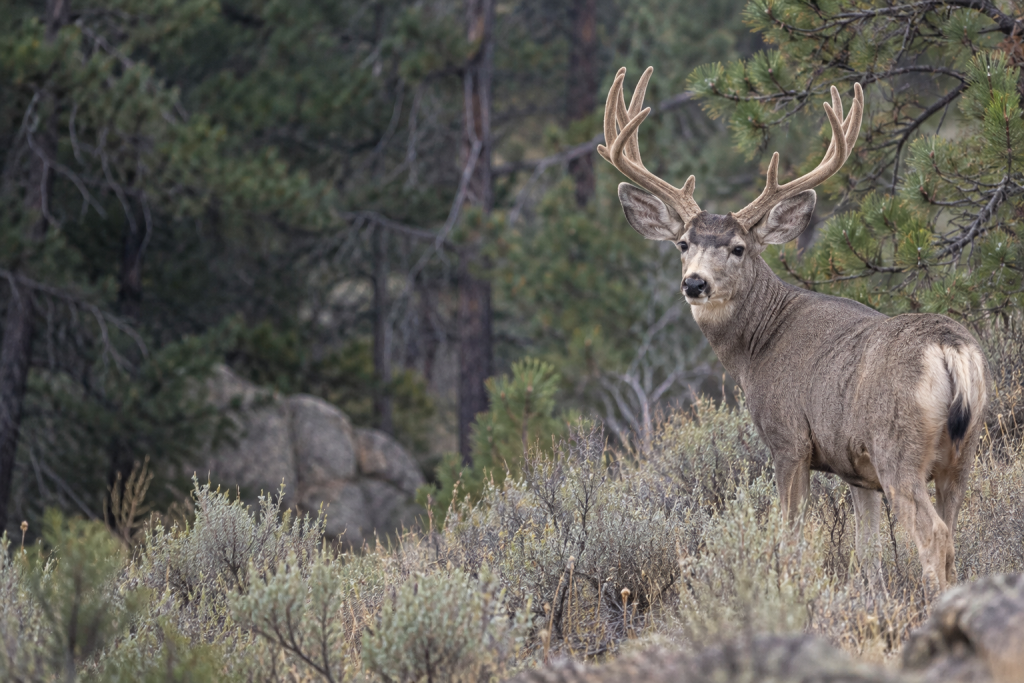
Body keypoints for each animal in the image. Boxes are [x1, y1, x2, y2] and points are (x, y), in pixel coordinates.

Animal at [598, 67, 989, 594]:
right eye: (683, 243)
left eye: (739, 247)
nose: (695, 283)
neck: (758, 346)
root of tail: (951, 350)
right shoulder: (856, 470)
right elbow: (867, 553)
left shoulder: (789, 440)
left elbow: (790, 539)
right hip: (962, 455)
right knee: (954, 531)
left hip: (899, 449)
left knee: (935, 536)